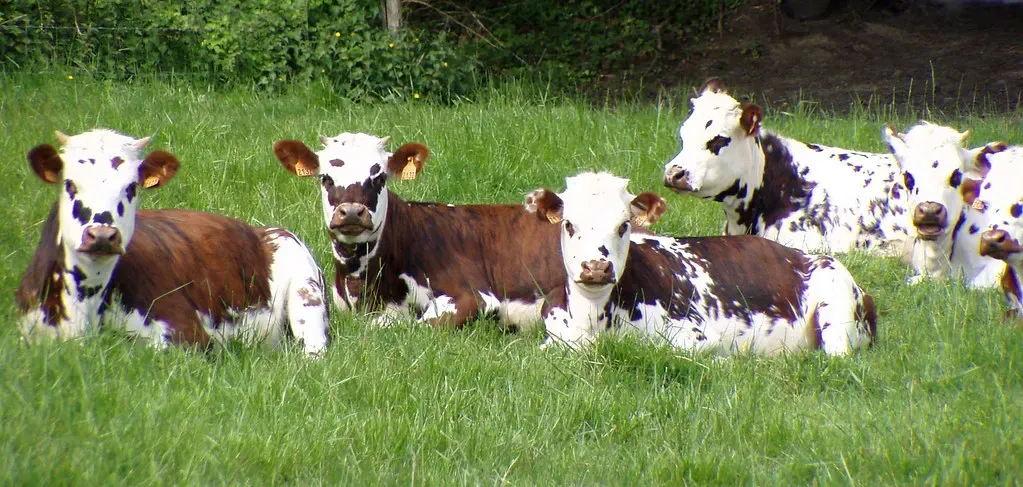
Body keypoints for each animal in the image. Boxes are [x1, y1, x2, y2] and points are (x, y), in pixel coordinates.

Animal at [16, 129, 330, 356]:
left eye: (132, 187)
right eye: (69, 184)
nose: (103, 235)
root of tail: (260, 230)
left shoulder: (186, 335)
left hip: (306, 294)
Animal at [525, 171, 877, 356]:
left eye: (624, 225)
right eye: (569, 224)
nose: (597, 267)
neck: (592, 321)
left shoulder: (697, 335)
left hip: (837, 311)